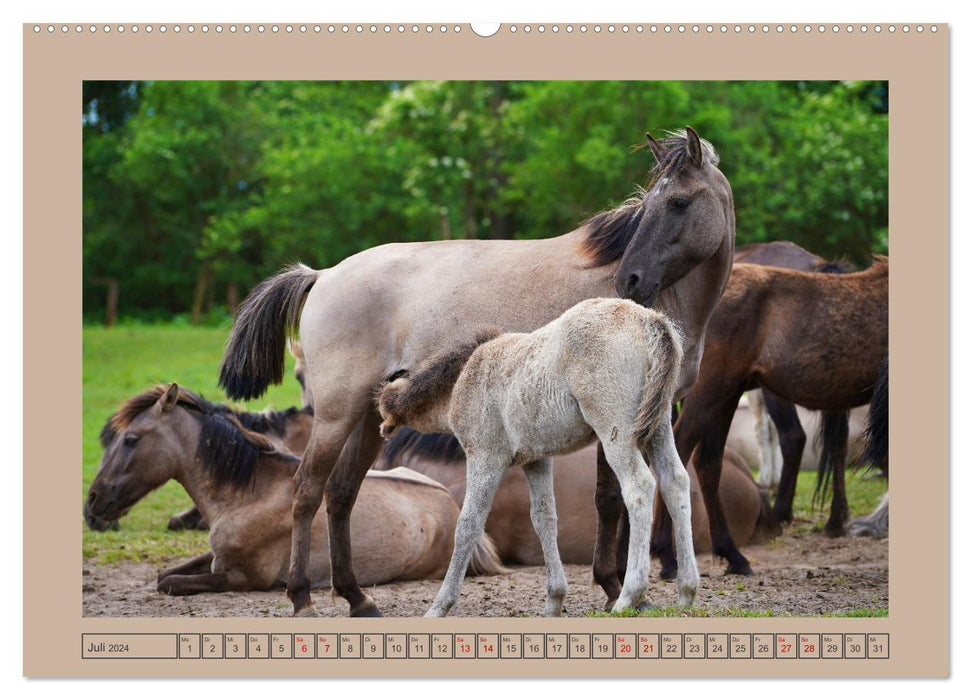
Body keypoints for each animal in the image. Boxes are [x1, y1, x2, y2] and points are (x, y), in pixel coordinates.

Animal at [378, 298, 700, 616]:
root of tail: (648, 320)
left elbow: (468, 523)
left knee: (639, 487)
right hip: (658, 425)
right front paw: (554, 601)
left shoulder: (485, 456)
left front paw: (439, 606)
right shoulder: (537, 460)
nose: (384, 430)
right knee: (675, 482)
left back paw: (628, 597)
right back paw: (686, 591)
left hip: (616, 429)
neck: (465, 377)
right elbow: (544, 518)